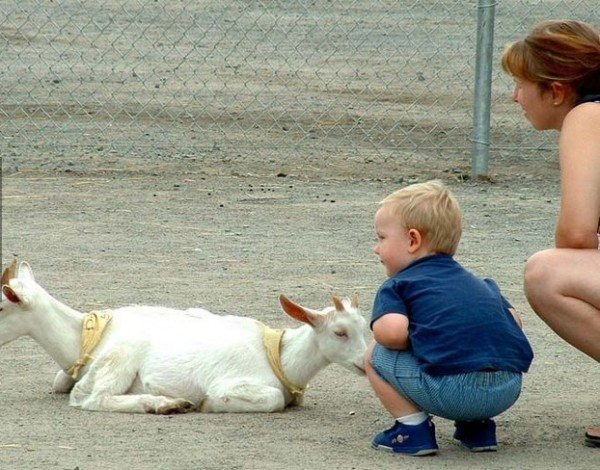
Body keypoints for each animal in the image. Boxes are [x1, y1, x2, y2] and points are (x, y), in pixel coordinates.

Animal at [0, 258, 368, 414]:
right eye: (340, 331)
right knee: (93, 399)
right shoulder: (234, 381)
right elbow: (271, 399)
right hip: (121, 358)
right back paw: (165, 404)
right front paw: (207, 403)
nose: (366, 364)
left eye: (365, 327)